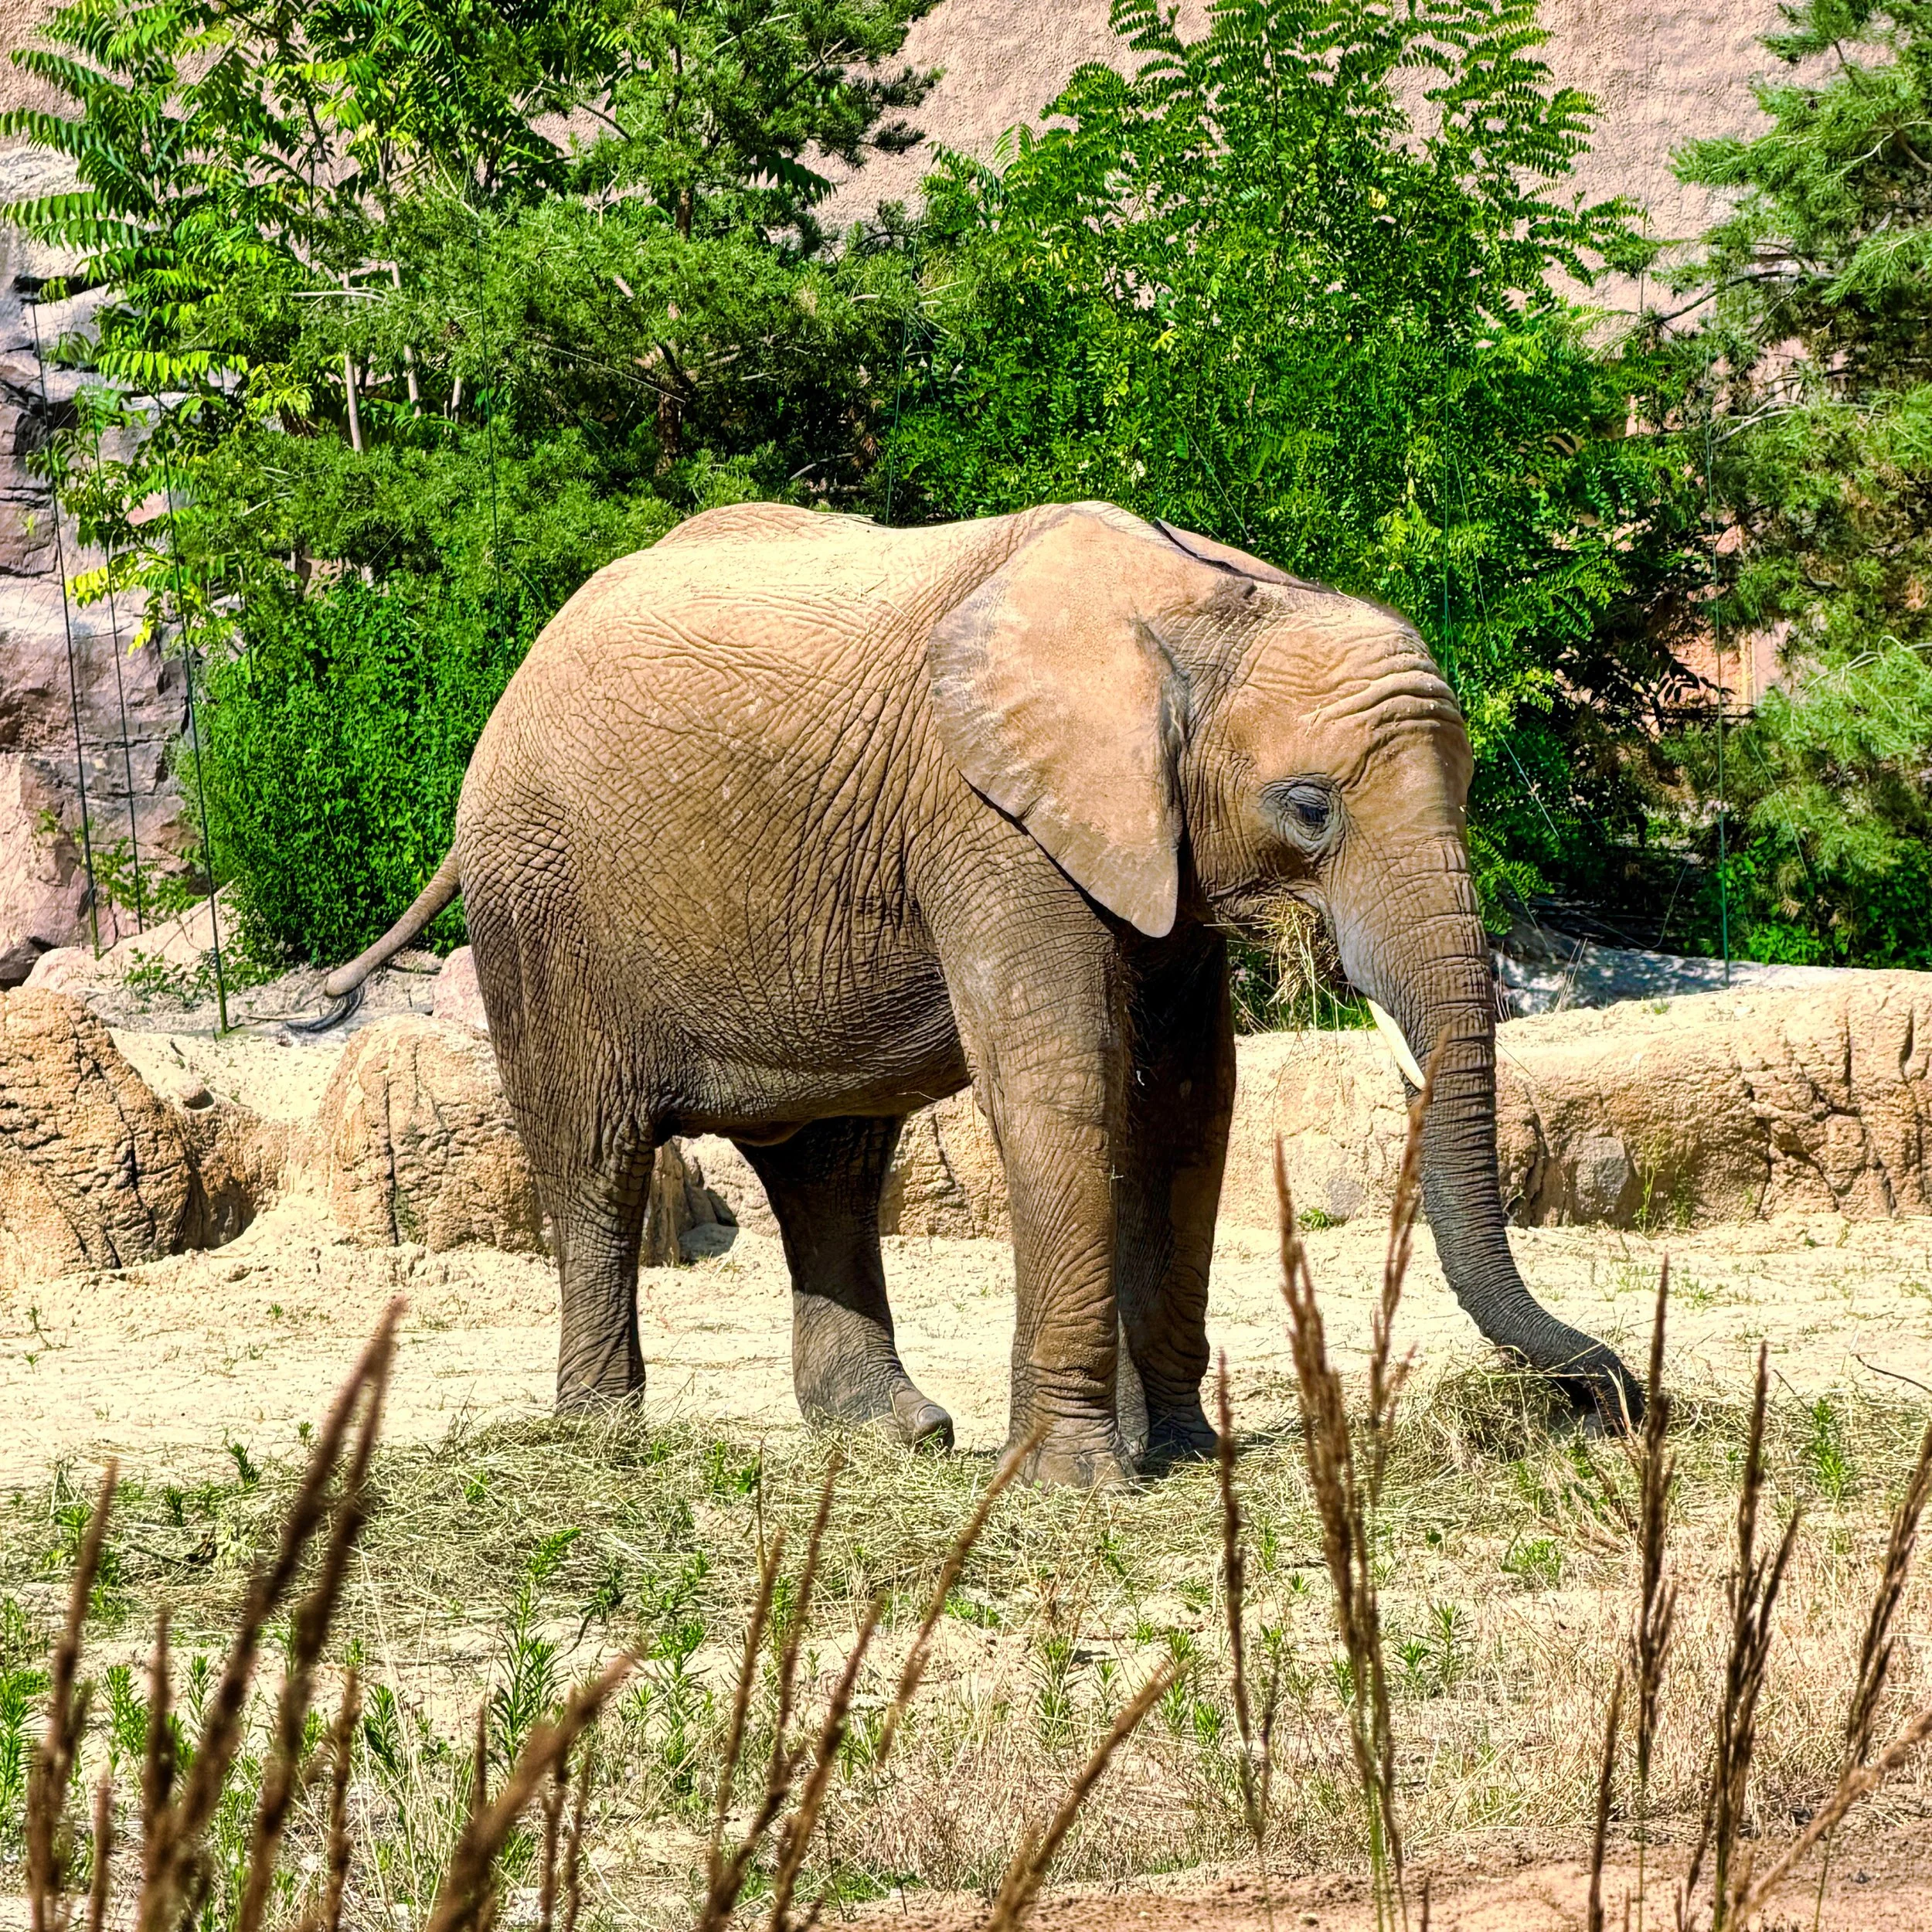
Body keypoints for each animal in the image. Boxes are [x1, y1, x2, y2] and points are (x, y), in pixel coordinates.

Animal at [324, 499, 1641, 1485]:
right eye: (1310, 809)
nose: (1614, 1397)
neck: (1207, 605)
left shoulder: (1146, 841)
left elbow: (1188, 1101)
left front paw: (1180, 1453)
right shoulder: (986, 818)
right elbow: (1061, 1081)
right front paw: (1079, 1485)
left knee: (832, 1165)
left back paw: (898, 1435)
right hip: (543, 903)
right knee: (597, 1155)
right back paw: (604, 1440)